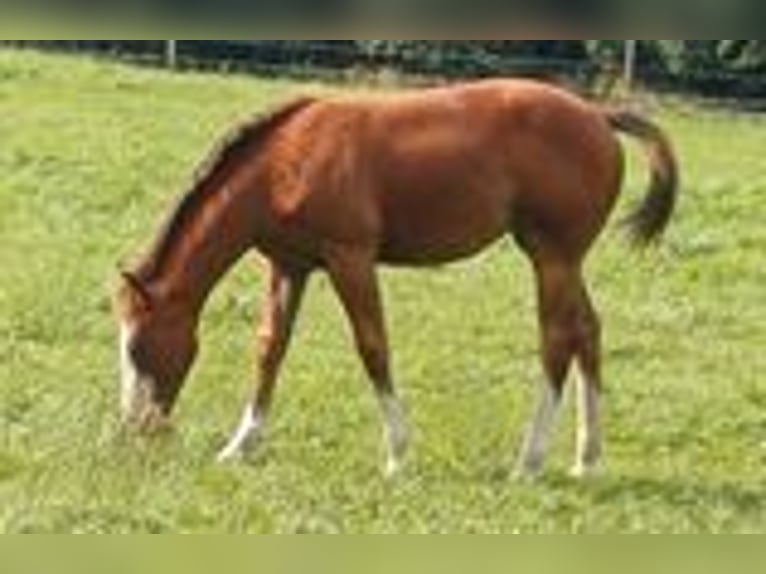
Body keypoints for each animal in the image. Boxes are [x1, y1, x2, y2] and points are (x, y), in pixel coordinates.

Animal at [115, 79, 678, 479]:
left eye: (137, 347)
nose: (135, 428)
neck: (284, 163)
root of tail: (597, 116)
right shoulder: (289, 266)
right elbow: (270, 348)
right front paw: (240, 445)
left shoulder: (351, 259)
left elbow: (372, 347)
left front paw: (397, 454)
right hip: (565, 260)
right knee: (588, 332)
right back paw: (586, 458)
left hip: (551, 257)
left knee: (558, 341)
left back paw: (530, 461)